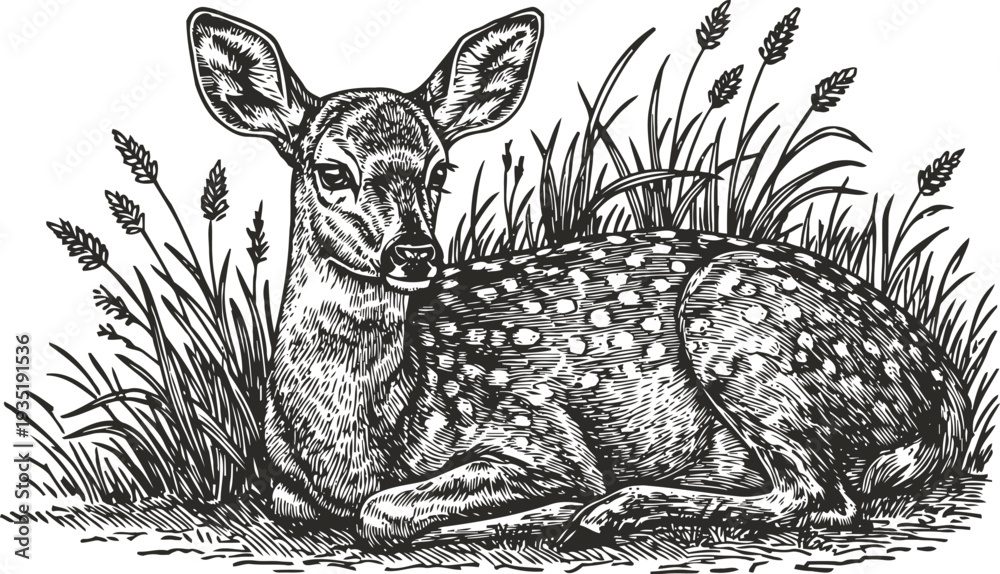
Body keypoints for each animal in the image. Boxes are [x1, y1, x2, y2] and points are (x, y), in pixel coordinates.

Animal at [187, 7, 970, 550]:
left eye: (440, 171)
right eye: (331, 171)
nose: (414, 253)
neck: (359, 437)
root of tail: (939, 385)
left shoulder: (537, 432)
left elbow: (383, 514)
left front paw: (552, 511)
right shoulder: (279, 480)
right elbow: (305, 504)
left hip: (744, 336)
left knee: (821, 496)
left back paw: (615, 509)